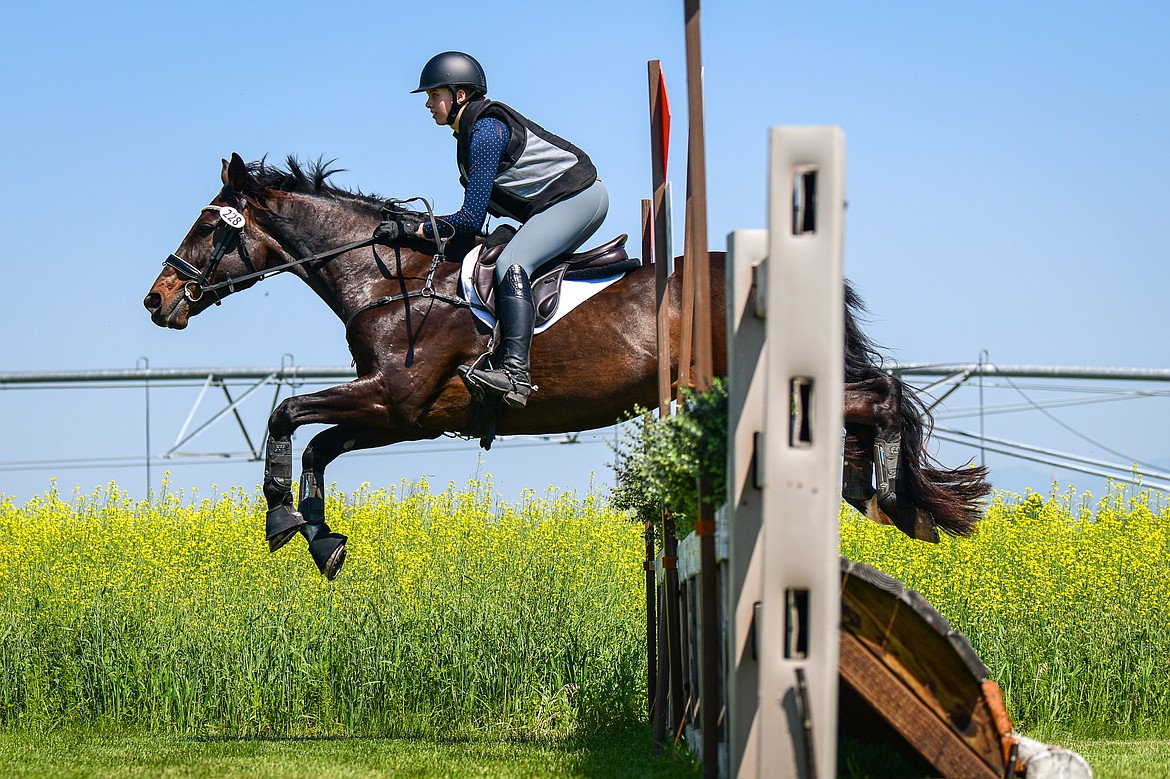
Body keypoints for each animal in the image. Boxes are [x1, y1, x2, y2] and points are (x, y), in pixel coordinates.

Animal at [143, 153, 987, 575]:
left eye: (209, 227)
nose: (156, 299)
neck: (393, 279)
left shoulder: (393, 397)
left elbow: (286, 412)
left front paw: (282, 514)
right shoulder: (405, 413)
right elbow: (318, 442)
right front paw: (320, 535)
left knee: (880, 396)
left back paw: (892, 495)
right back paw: (881, 492)